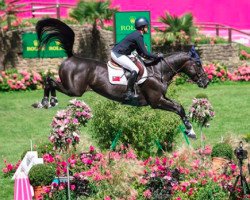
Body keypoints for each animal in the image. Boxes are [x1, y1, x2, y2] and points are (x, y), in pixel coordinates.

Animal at [33, 18, 209, 139]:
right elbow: (178, 108)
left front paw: (190, 130)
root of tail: (71, 57)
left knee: (50, 81)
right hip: (74, 90)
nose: (206, 82)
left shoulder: (161, 97)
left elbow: (179, 107)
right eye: (198, 64)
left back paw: (48, 102)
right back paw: (47, 101)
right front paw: (191, 130)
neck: (158, 70)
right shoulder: (156, 101)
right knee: (49, 81)